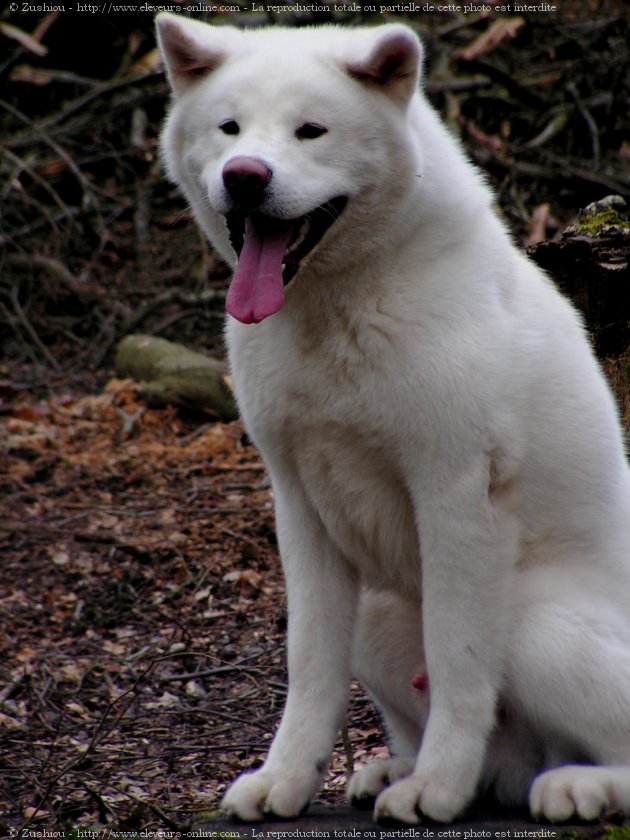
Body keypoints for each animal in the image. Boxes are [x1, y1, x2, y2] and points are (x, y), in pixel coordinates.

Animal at [157, 16, 630, 824]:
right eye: (230, 128)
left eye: (310, 131)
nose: (245, 175)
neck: (334, 306)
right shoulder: (299, 505)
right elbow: (309, 666)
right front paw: (287, 780)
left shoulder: (458, 496)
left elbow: (459, 662)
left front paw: (438, 788)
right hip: (378, 616)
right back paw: (404, 769)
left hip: (534, 624)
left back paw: (568, 786)